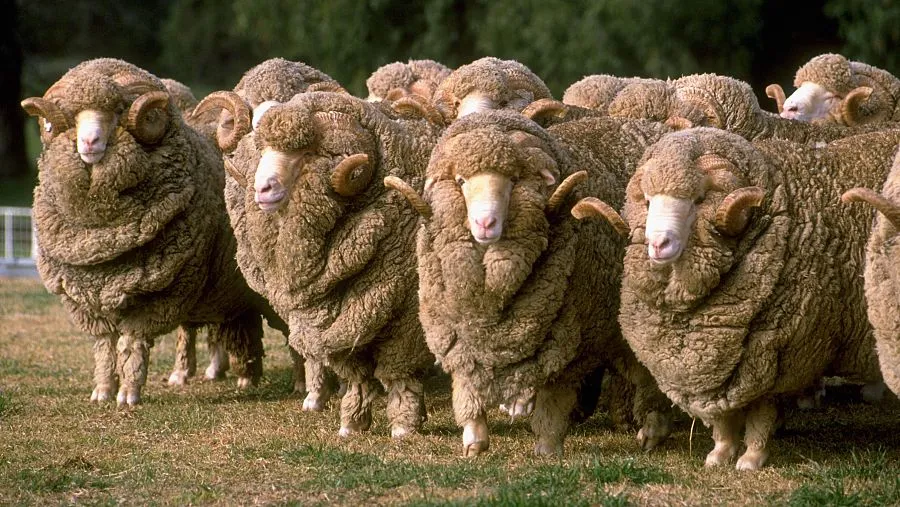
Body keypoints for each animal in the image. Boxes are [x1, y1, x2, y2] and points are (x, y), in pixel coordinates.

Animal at [21, 57, 286, 406]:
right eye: (73, 116)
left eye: (118, 112)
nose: (89, 143)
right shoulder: (86, 300)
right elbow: (105, 347)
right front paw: (102, 391)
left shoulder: (162, 294)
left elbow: (132, 342)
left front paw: (128, 393)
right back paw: (218, 374)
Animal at [210, 90, 439, 437]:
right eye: (263, 151)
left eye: (306, 153)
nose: (262, 189)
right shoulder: (343, 319)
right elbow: (356, 375)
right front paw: (352, 423)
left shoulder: (408, 319)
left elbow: (399, 373)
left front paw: (404, 424)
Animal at [385, 109, 674, 456]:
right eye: (461, 181)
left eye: (512, 181)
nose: (485, 223)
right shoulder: (463, 339)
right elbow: (469, 391)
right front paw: (473, 441)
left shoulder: (565, 344)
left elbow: (553, 401)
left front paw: (548, 447)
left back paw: (652, 431)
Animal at [578, 126, 899, 470]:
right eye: (649, 202)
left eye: (699, 199)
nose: (657, 244)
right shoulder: (714, 361)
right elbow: (722, 416)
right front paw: (720, 453)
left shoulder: (773, 354)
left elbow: (760, 414)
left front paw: (752, 458)